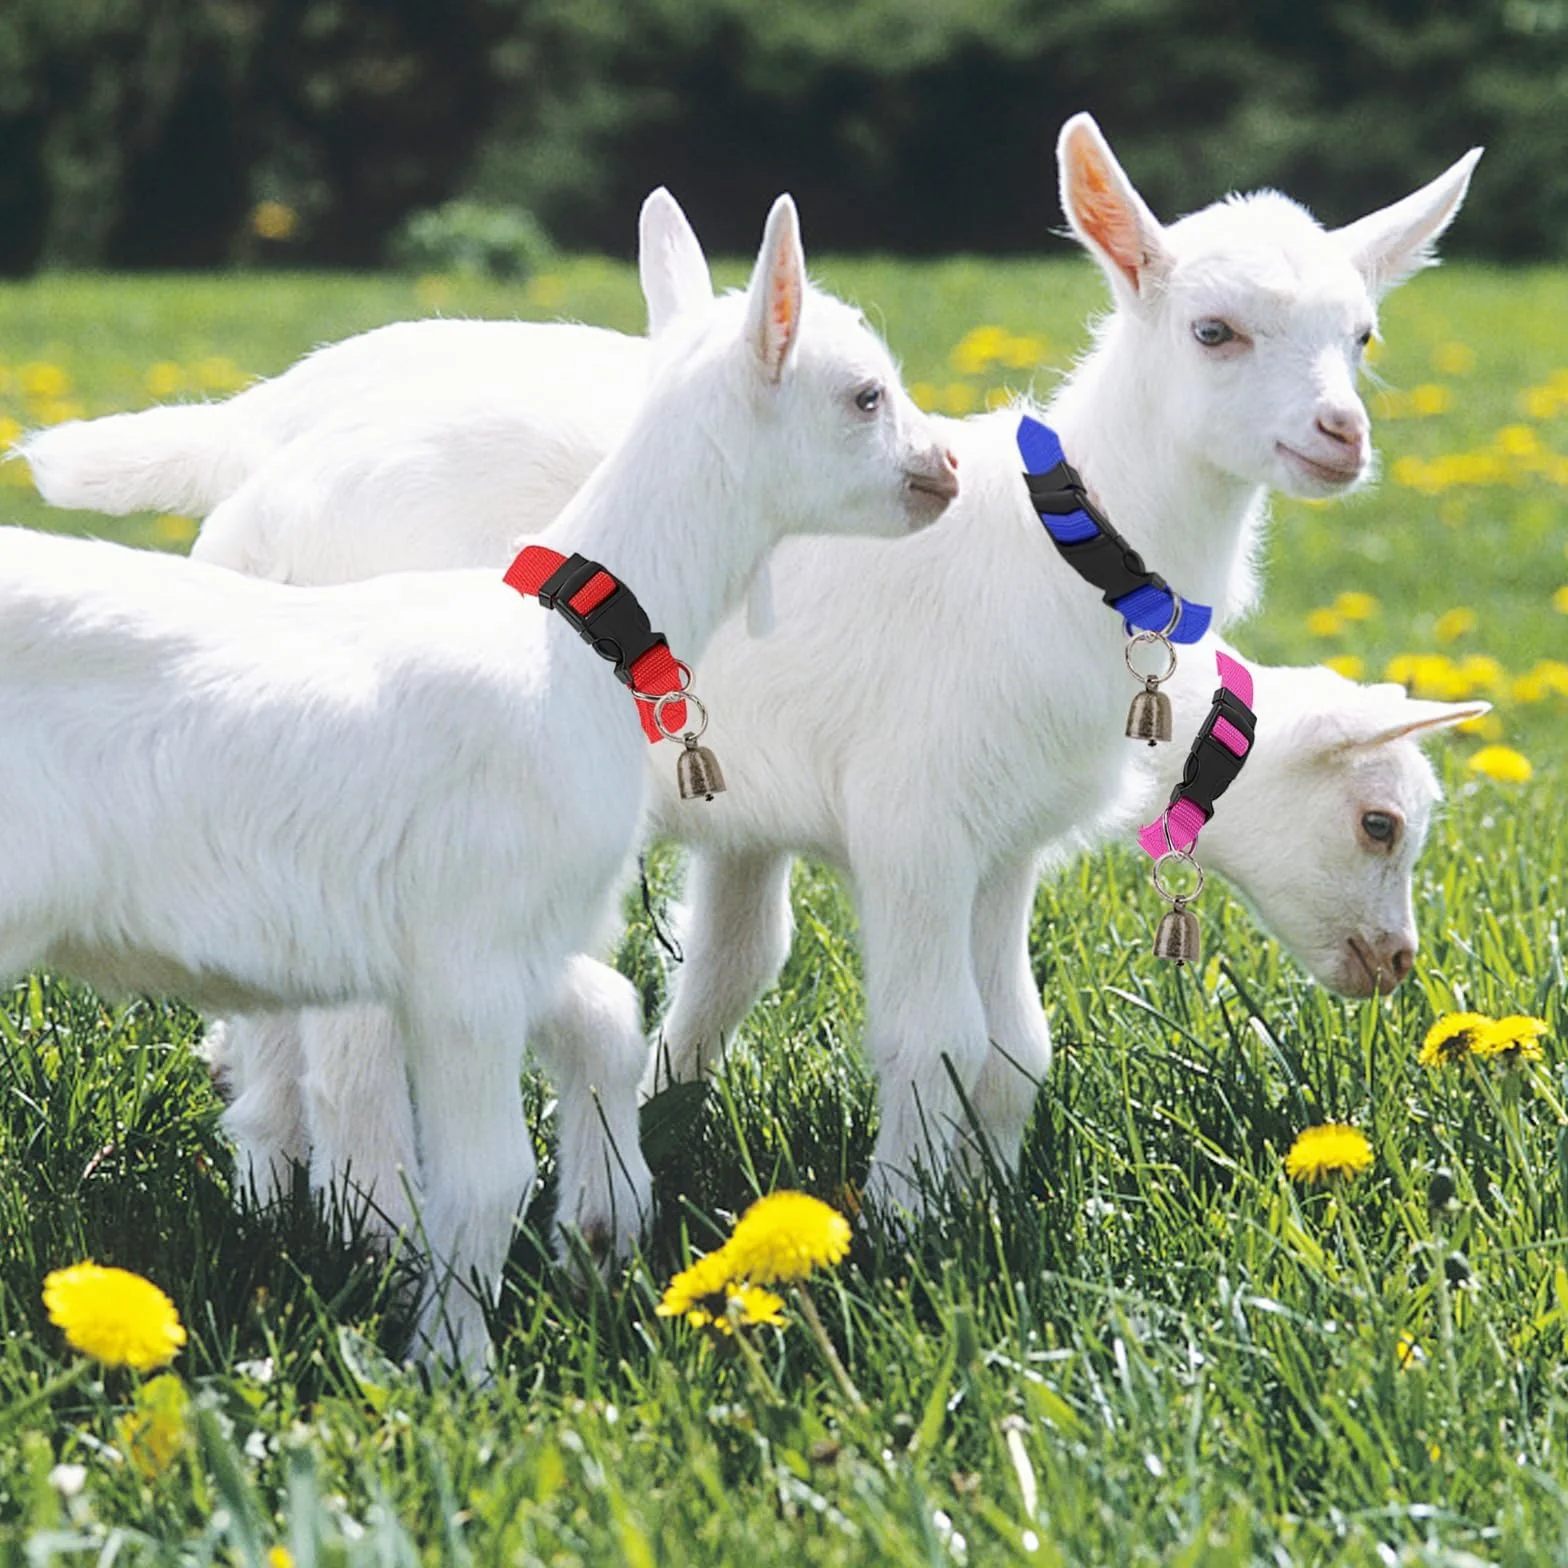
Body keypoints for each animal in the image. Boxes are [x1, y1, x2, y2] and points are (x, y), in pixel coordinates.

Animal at [0, 192, 956, 1368]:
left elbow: (600, 1016)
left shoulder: (500, 938)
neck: (568, 640)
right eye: (865, 393)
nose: (947, 470)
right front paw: (454, 1362)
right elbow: (487, 1173)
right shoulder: (471, 949)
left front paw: (603, 1224)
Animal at [25, 116, 1481, 1219]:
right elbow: (931, 1032)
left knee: (265, 1008)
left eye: (1362, 338)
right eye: (1213, 331)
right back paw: (360, 1212)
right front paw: (909, 1224)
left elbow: (996, 1041)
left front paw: (971, 1186)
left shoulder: (985, 837)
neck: (1061, 551)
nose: (1394, 965)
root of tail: (255, 457)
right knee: (349, 1024)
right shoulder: (913, 811)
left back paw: (275, 1178)